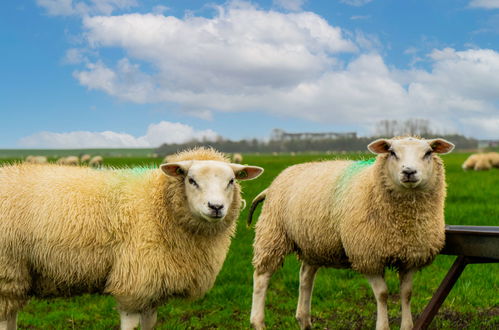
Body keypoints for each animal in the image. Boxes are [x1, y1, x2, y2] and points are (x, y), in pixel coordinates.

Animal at [0, 148, 266, 330]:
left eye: (231, 181)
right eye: (191, 180)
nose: (216, 207)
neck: (160, 204)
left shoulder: (153, 283)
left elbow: (150, 324)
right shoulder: (134, 281)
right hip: (7, 270)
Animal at [248, 136, 456, 330]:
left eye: (428, 153)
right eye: (392, 152)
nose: (409, 172)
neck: (402, 225)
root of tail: (280, 176)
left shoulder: (411, 257)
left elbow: (406, 293)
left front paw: (407, 326)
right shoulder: (367, 256)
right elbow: (382, 294)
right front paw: (382, 326)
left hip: (312, 242)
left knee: (306, 277)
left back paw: (304, 319)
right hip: (273, 233)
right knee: (262, 276)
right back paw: (258, 321)